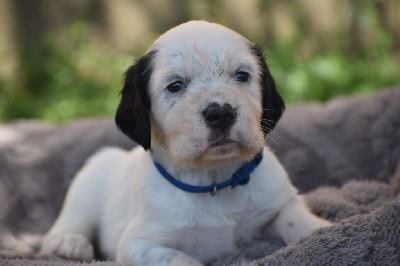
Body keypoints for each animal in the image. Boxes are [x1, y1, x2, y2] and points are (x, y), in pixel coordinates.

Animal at [39, 21, 332, 266]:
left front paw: (324, 230)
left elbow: (297, 220)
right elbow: (182, 260)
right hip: (85, 187)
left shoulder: (281, 201)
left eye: (241, 76)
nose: (221, 113)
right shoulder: (140, 245)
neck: (214, 181)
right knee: (65, 226)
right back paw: (69, 244)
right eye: (175, 86)